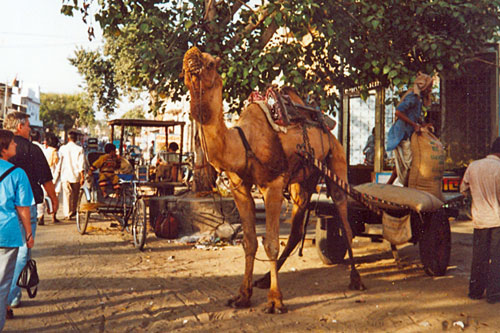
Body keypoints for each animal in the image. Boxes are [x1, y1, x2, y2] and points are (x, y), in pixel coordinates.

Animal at [182, 46, 366, 314]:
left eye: (211, 64)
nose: (191, 55)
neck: (242, 142)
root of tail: (328, 125)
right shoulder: (240, 188)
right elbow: (249, 242)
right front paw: (242, 296)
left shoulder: (273, 185)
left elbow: (269, 243)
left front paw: (275, 301)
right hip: (303, 181)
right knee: (297, 230)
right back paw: (263, 279)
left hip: (336, 163)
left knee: (344, 219)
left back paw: (356, 278)